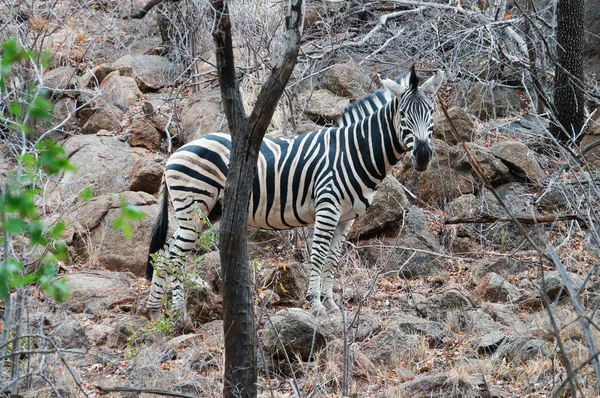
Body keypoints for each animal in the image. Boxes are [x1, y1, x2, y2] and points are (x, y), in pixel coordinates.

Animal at [145, 66, 446, 326]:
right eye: (403, 114)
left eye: (431, 112)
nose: (422, 156)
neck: (354, 151)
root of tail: (176, 153)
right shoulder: (328, 207)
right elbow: (319, 255)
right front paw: (316, 305)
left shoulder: (346, 218)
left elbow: (333, 259)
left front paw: (331, 304)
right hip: (195, 206)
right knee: (175, 256)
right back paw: (179, 315)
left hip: (208, 211)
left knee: (165, 252)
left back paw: (156, 313)